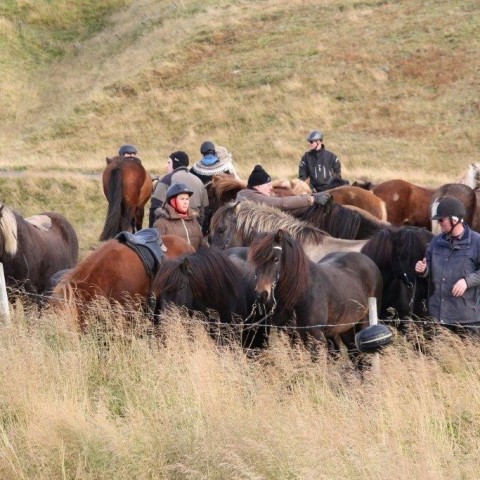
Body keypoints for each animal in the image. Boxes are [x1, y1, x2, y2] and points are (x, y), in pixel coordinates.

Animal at [248, 230, 382, 364]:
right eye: (255, 260)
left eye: (276, 259)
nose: (261, 294)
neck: (299, 294)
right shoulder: (289, 335)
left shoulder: (316, 336)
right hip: (344, 328)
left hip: (363, 323)